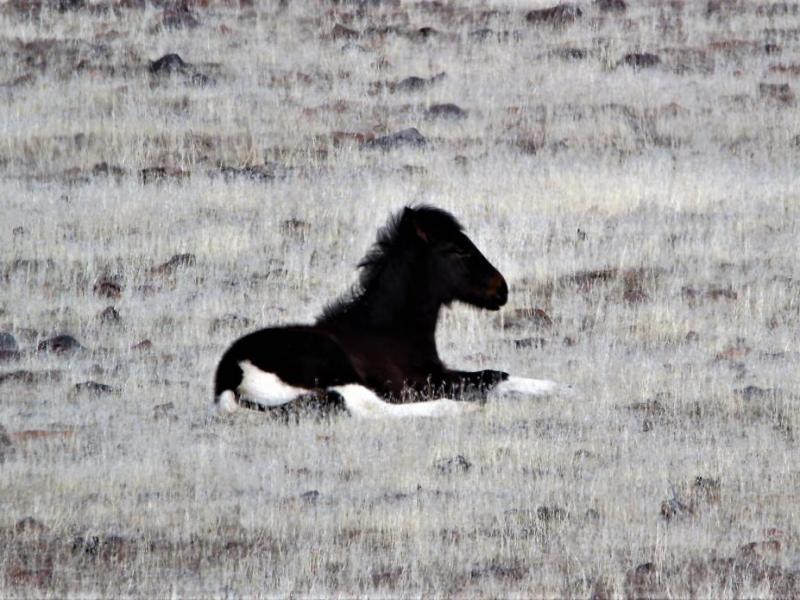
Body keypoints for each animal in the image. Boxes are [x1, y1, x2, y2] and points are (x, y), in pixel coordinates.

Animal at [214, 205, 565, 419]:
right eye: (457, 249)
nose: (501, 289)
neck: (389, 332)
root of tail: (229, 377)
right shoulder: (424, 381)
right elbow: (487, 379)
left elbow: (494, 374)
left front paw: (559, 387)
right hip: (335, 371)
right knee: (367, 407)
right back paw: (457, 409)